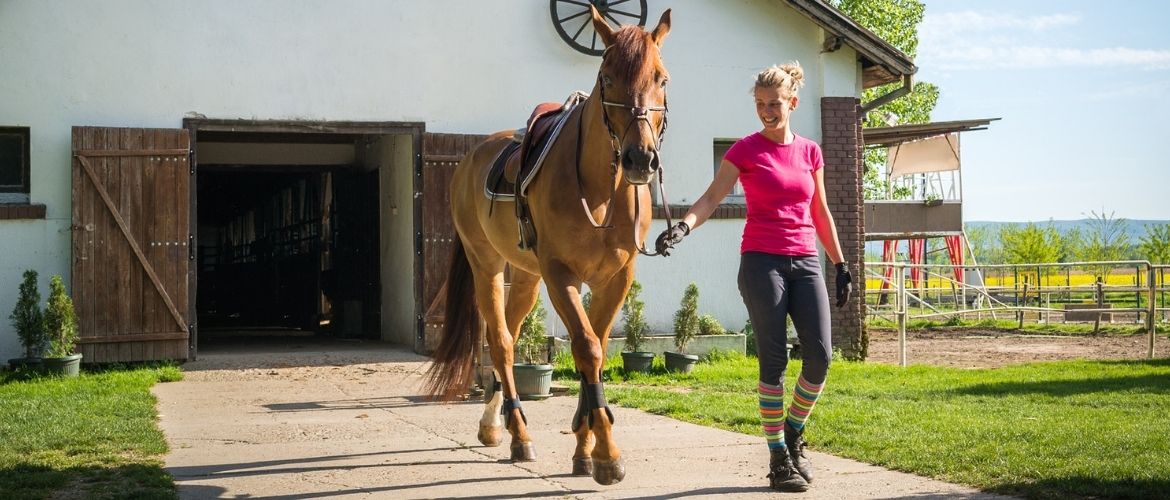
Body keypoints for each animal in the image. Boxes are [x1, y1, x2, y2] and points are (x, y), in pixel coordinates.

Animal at [425, 5, 673, 487]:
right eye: (607, 78)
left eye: (662, 78)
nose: (640, 159)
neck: (601, 190)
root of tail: (470, 159)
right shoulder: (562, 276)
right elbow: (588, 349)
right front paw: (607, 456)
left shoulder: (616, 278)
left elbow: (595, 348)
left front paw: (584, 447)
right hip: (488, 265)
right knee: (501, 341)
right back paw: (518, 435)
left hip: (526, 276)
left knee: (510, 333)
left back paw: (494, 425)